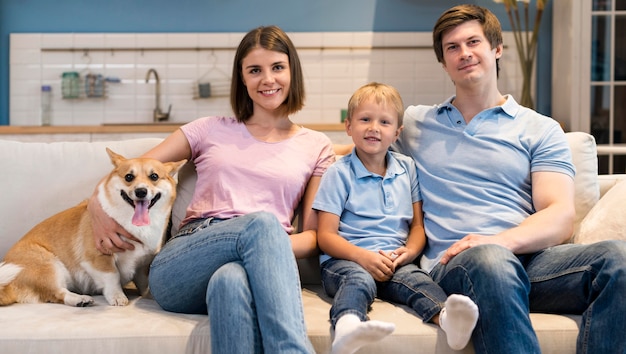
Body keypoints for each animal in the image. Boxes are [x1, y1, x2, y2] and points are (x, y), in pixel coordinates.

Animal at [0, 148, 185, 306]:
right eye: (128, 177)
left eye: (154, 176)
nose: (141, 191)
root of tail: (8, 287)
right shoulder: (98, 257)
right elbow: (112, 276)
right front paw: (117, 297)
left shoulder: (142, 266)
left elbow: (145, 283)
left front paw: (149, 296)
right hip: (49, 265)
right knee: (57, 293)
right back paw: (79, 299)